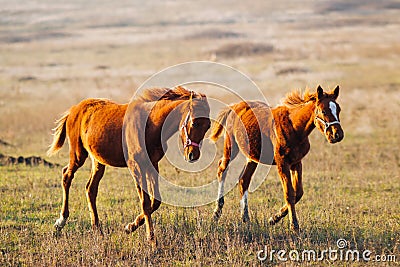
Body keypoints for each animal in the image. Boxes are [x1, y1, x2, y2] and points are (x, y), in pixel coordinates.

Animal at [47, 86, 211, 247]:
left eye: (208, 126)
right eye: (194, 123)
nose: (193, 155)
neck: (150, 124)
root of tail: (74, 109)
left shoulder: (152, 165)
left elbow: (155, 202)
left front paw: (130, 226)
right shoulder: (136, 167)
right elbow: (145, 203)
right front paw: (151, 240)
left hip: (98, 161)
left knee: (90, 189)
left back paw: (97, 230)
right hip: (78, 155)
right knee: (66, 176)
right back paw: (61, 222)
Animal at [209, 86, 344, 232]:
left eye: (338, 109)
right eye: (323, 111)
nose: (337, 135)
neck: (294, 128)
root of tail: (234, 106)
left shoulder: (296, 162)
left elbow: (298, 192)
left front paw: (274, 218)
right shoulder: (282, 163)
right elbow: (289, 193)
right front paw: (294, 225)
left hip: (252, 157)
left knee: (244, 180)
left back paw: (245, 218)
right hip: (231, 147)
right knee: (222, 169)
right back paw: (216, 213)